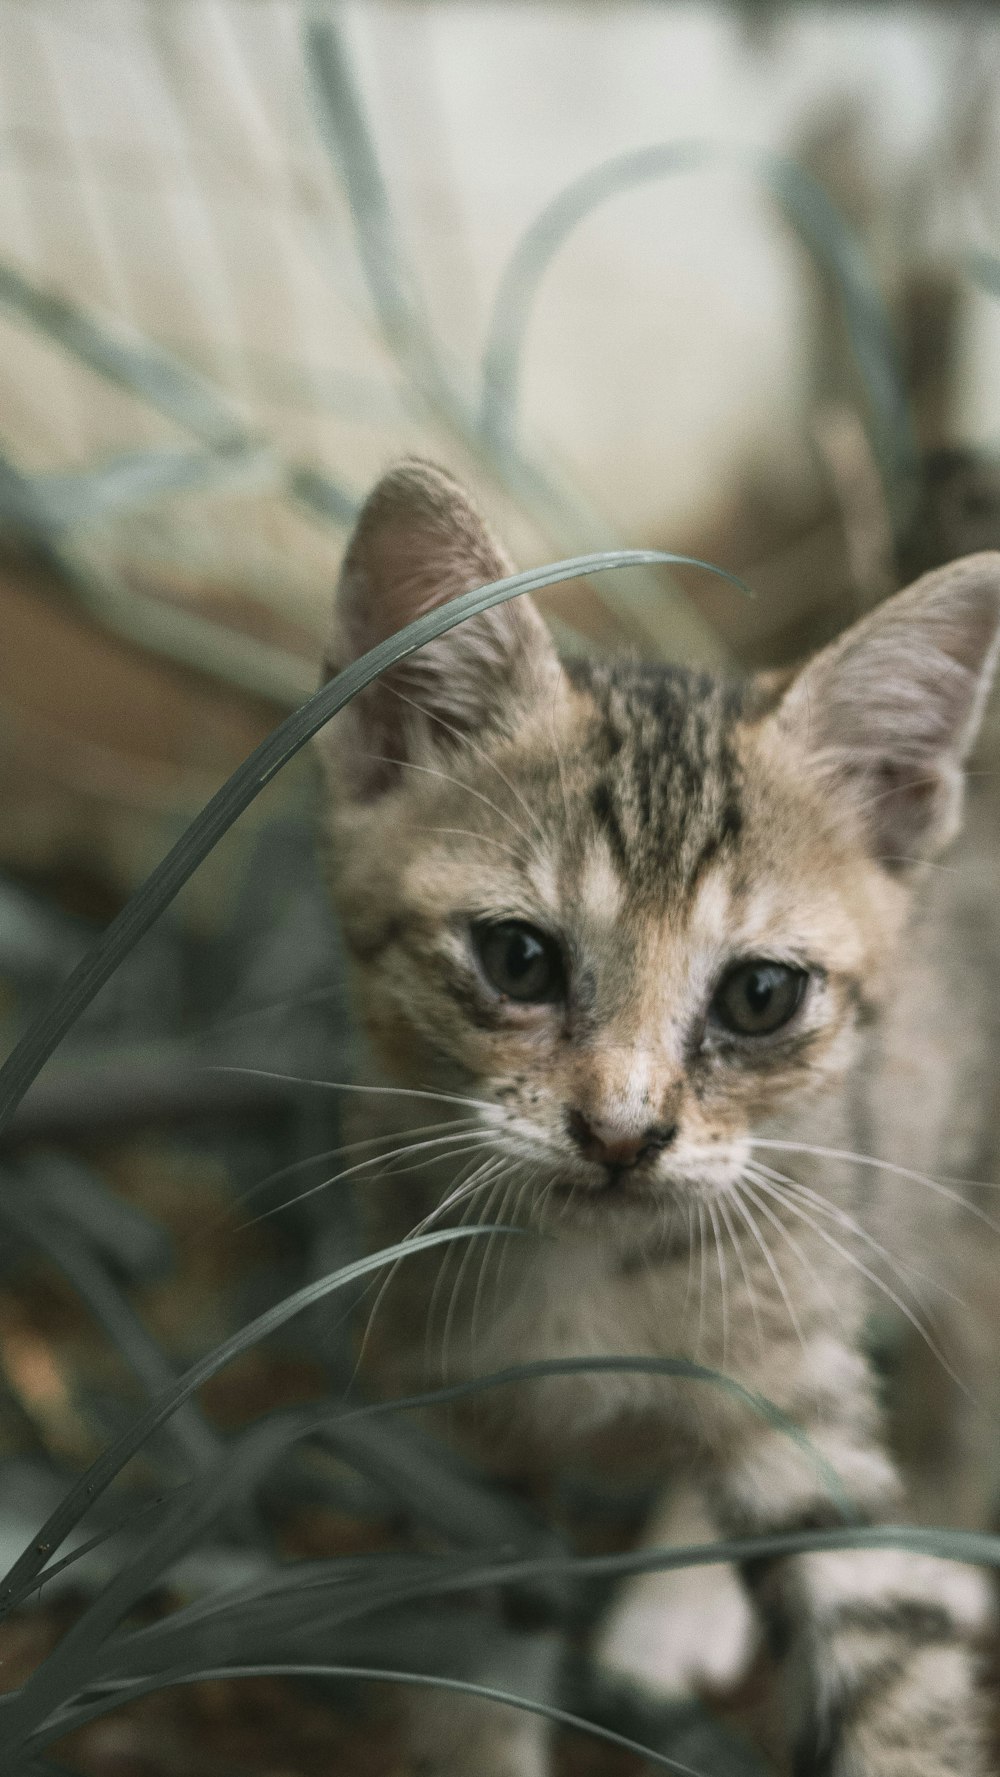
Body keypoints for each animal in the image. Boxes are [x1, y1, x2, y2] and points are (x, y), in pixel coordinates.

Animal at [316, 462, 1000, 1777]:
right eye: (519, 959)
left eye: (759, 994)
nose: (623, 1133)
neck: (592, 1273)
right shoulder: (446, 1409)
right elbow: (471, 1628)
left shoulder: (792, 1354)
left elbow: (883, 1631)